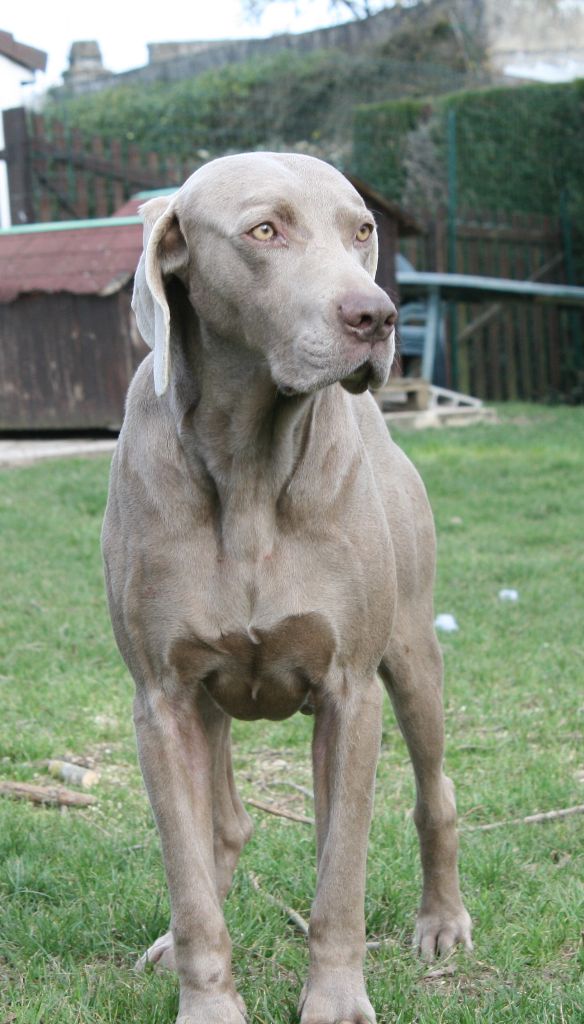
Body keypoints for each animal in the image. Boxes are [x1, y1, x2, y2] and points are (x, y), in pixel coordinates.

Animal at [102, 152, 472, 1024]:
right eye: (264, 230)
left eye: (362, 229)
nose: (377, 317)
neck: (248, 470)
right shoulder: (161, 699)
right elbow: (190, 879)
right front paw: (207, 1001)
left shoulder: (349, 691)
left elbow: (341, 874)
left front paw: (335, 1000)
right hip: (207, 699)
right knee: (224, 827)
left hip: (413, 654)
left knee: (432, 793)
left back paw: (442, 920)